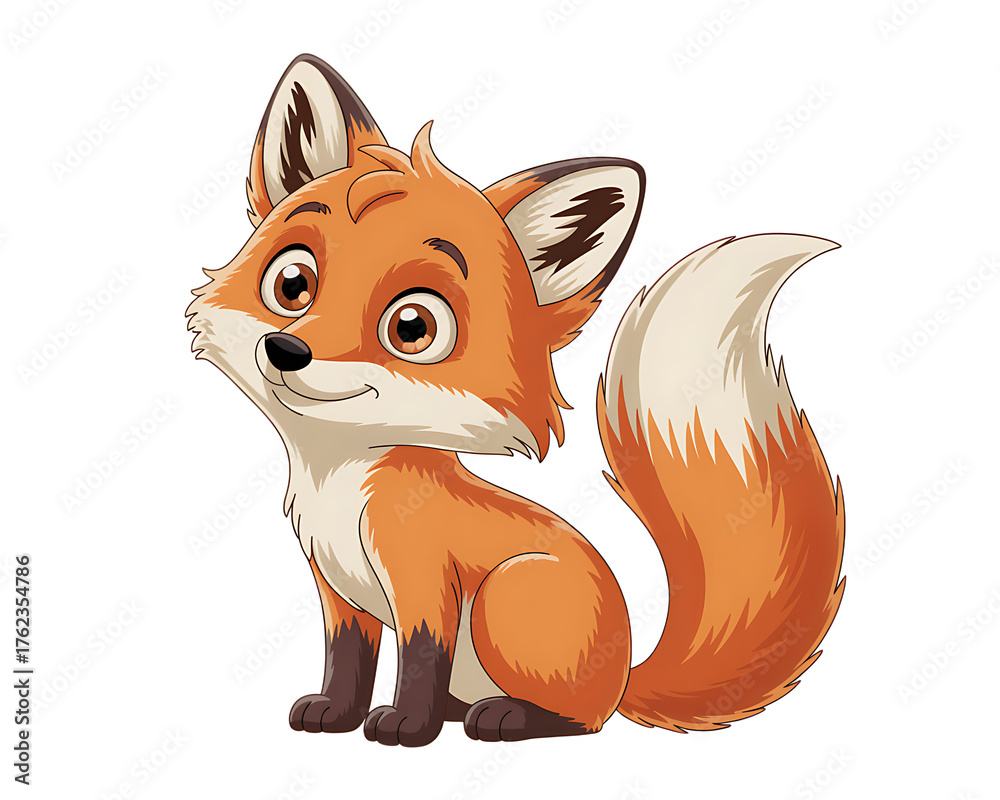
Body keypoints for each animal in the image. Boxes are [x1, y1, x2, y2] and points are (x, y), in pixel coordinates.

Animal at [186, 54, 845, 747]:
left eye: (413, 326)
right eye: (292, 283)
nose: (287, 350)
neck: (341, 486)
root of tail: (624, 676)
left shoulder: (425, 586)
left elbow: (419, 660)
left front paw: (406, 727)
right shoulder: (337, 593)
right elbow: (347, 661)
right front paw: (334, 714)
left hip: (507, 595)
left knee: (580, 722)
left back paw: (506, 716)